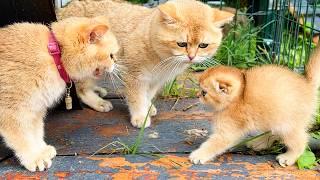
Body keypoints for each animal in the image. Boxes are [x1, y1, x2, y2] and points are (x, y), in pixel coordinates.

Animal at [0, 16, 119, 172]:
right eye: (111, 56)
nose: (115, 63)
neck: (55, 55)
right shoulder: (12, 113)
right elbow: (23, 138)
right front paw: (34, 157)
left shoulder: (36, 109)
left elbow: (36, 132)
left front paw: (41, 150)